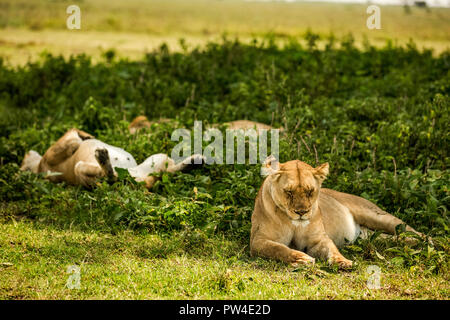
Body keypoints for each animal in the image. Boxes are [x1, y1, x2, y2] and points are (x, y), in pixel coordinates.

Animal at [251, 155, 428, 268]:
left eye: (310, 191)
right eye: (288, 192)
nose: (302, 212)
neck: (294, 223)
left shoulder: (318, 239)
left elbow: (331, 249)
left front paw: (343, 262)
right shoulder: (258, 240)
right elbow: (278, 249)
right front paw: (301, 258)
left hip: (377, 216)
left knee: (410, 230)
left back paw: (427, 242)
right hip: (371, 237)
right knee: (393, 239)